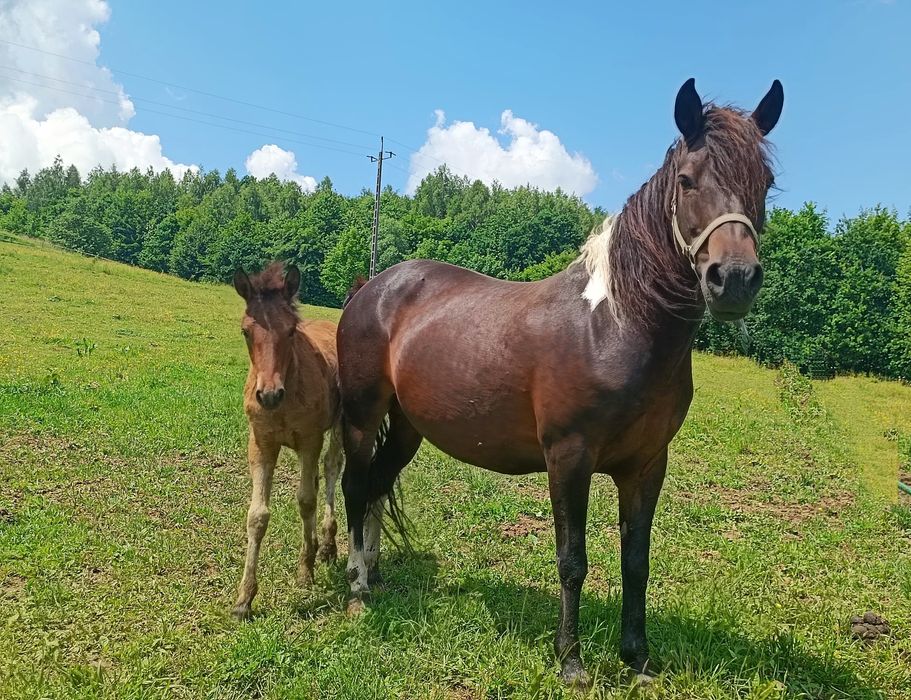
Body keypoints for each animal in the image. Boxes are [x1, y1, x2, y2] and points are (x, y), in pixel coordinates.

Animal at [230, 262, 344, 616]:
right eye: (246, 331)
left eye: (291, 331)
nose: (268, 394)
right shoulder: (261, 443)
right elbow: (257, 516)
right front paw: (244, 598)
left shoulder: (310, 439)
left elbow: (306, 500)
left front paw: (305, 571)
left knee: (332, 468)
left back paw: (328, 546)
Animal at [334, 79, 784, 688]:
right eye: (688, 180)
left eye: (765, 183)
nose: (733, 280)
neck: (614, 324)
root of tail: (373, 287)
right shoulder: (568, 458)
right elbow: (573, 560)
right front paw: (570, 659)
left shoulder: (646, 465)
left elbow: (636, 561)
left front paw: (637, 659)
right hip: (362, 417)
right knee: (356, 487)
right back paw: (358, 587)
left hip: (407, 428)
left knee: (379, 486)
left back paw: (375, 573)